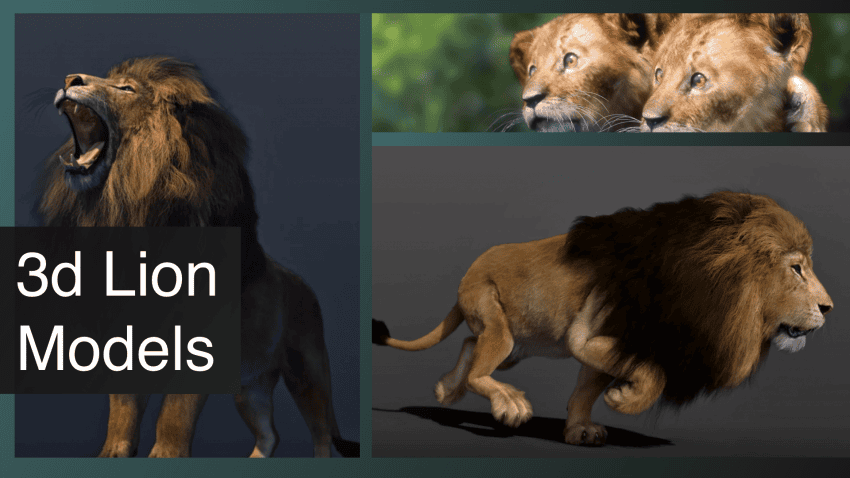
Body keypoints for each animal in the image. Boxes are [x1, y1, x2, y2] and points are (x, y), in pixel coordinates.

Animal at [41, 56, 358, 458]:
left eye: (126, 88)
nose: (70, 79)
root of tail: (300, 281)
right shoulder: (123, 342)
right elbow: (123, 409)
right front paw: (112, 452)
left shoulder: (199, 344)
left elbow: (175, 412)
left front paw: (165, 455)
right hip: (250, 385)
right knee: (269, 433)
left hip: (307, 372)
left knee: (321, 433)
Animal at [373, 191, 832, 446]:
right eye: (797, 268)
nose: (829, 308)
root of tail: (463, 280)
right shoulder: (590, 335)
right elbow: (653, 372)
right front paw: (625, 398)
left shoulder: (613, 343)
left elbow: (585, 391)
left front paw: (581, 430)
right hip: (498, 325)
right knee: (478, 368)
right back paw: (507, 404)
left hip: (515, 343)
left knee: (471, 345)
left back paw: (446, 389)